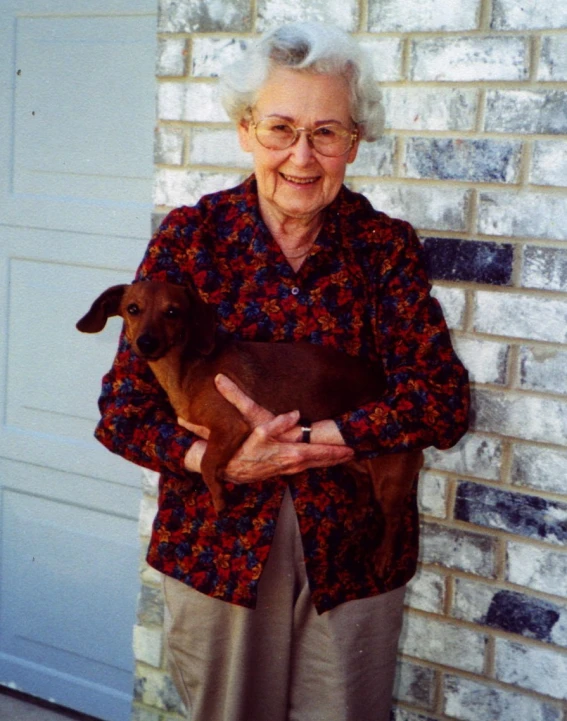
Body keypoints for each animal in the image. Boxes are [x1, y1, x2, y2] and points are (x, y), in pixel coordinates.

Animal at [77, 282, 424, 568]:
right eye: (132, 308)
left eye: (172, 311)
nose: (146, 342)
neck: (188, 370)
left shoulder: (231, 427)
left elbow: (207, 463)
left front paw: (218, 498)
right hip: (350, 461)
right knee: (363, 489)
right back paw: (356, 513)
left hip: (390, 482)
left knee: (392, 520)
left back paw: (383, 556)